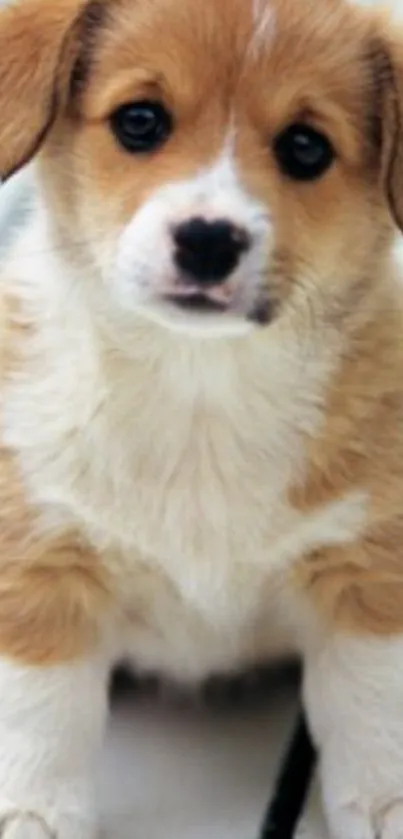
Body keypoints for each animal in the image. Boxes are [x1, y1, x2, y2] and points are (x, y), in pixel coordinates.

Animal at [0, 0, 403, 836]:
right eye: (140, 121)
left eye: (305, 146)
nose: (209, 240)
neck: (200, 387)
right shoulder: (45, 556)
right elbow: (40, 722)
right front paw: (33, 815)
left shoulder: (364, 572)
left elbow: (372, 714)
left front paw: (383, 807)